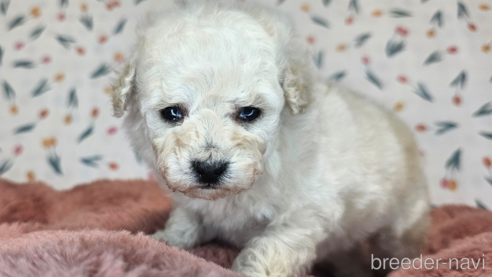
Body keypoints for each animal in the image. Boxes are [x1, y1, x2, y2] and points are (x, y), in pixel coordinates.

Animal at [110, 1, 426, 274]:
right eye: (173, 112)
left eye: (249, 113)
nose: (209, 168)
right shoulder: (196, 204)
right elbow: (186, 220)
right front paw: (165, 239)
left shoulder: (305, 214)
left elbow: (269, 249)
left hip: (404, 220)